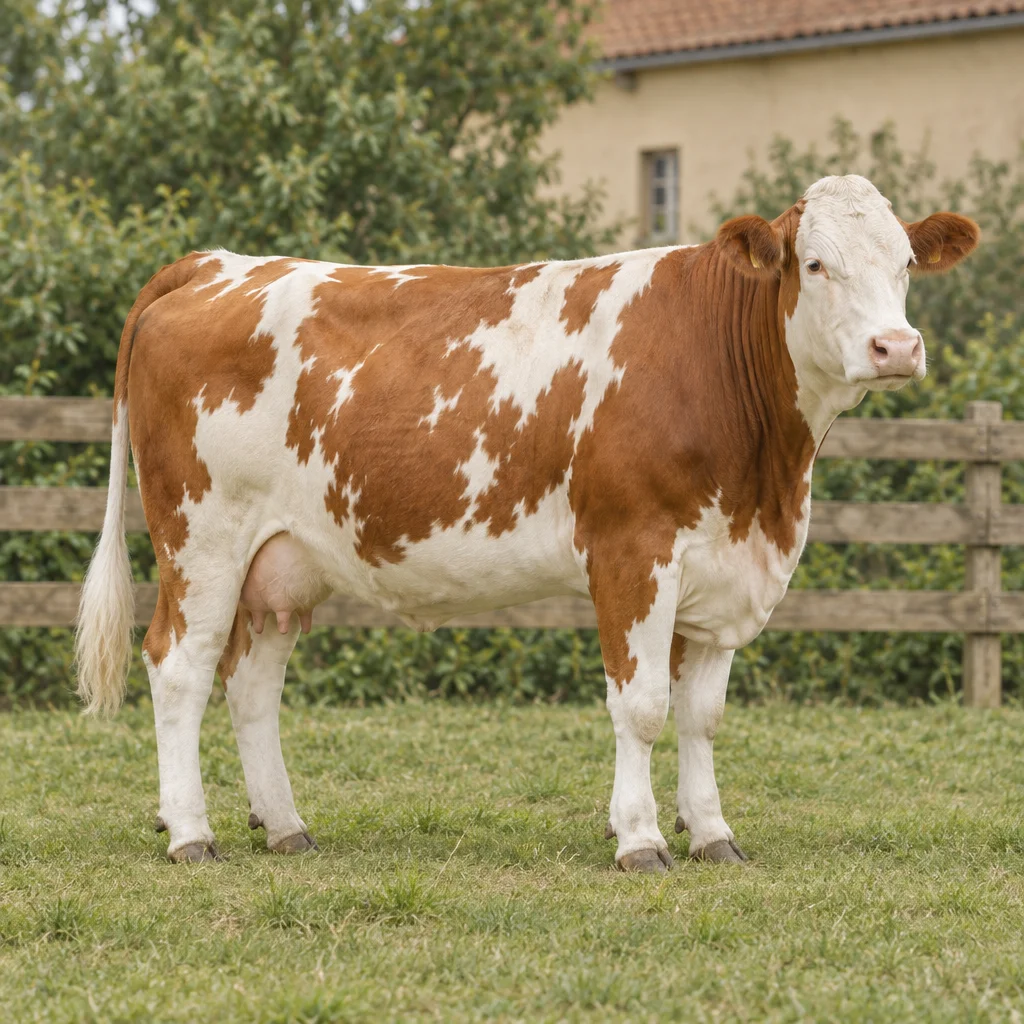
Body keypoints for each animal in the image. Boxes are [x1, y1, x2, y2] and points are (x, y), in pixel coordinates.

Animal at [75, 175, 979, 871]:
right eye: (816, 264)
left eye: (905, 262)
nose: (897, 347)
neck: (767, 479)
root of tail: (216, 264)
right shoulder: (630, 551)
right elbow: (642, 705)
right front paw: (640, 839)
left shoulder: (726, 569)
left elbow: (702, 715)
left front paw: (713, 834)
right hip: (202, 539)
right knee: (179, 667)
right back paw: (190, 834)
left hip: (281, 563)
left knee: (253, 682)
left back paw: (287, 827)